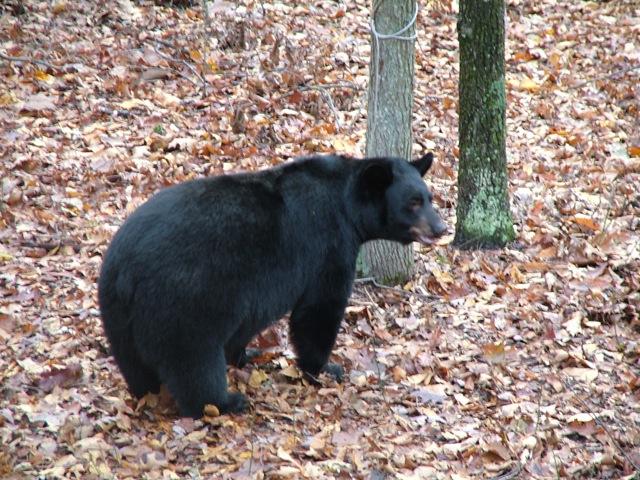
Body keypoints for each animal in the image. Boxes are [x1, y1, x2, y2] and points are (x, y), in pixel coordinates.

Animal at [99, 154, 444, 416]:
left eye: (428, 197)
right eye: (413, 202)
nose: (440, 227)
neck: (346, 205)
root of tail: (127, 270)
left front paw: (244, 353)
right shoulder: (328, 246)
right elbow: (319, 309)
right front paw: (324, 368)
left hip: (116, 311)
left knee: (133, 360)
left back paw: (146, 390)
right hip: (186, 298)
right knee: (192, 359)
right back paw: (224, 402)